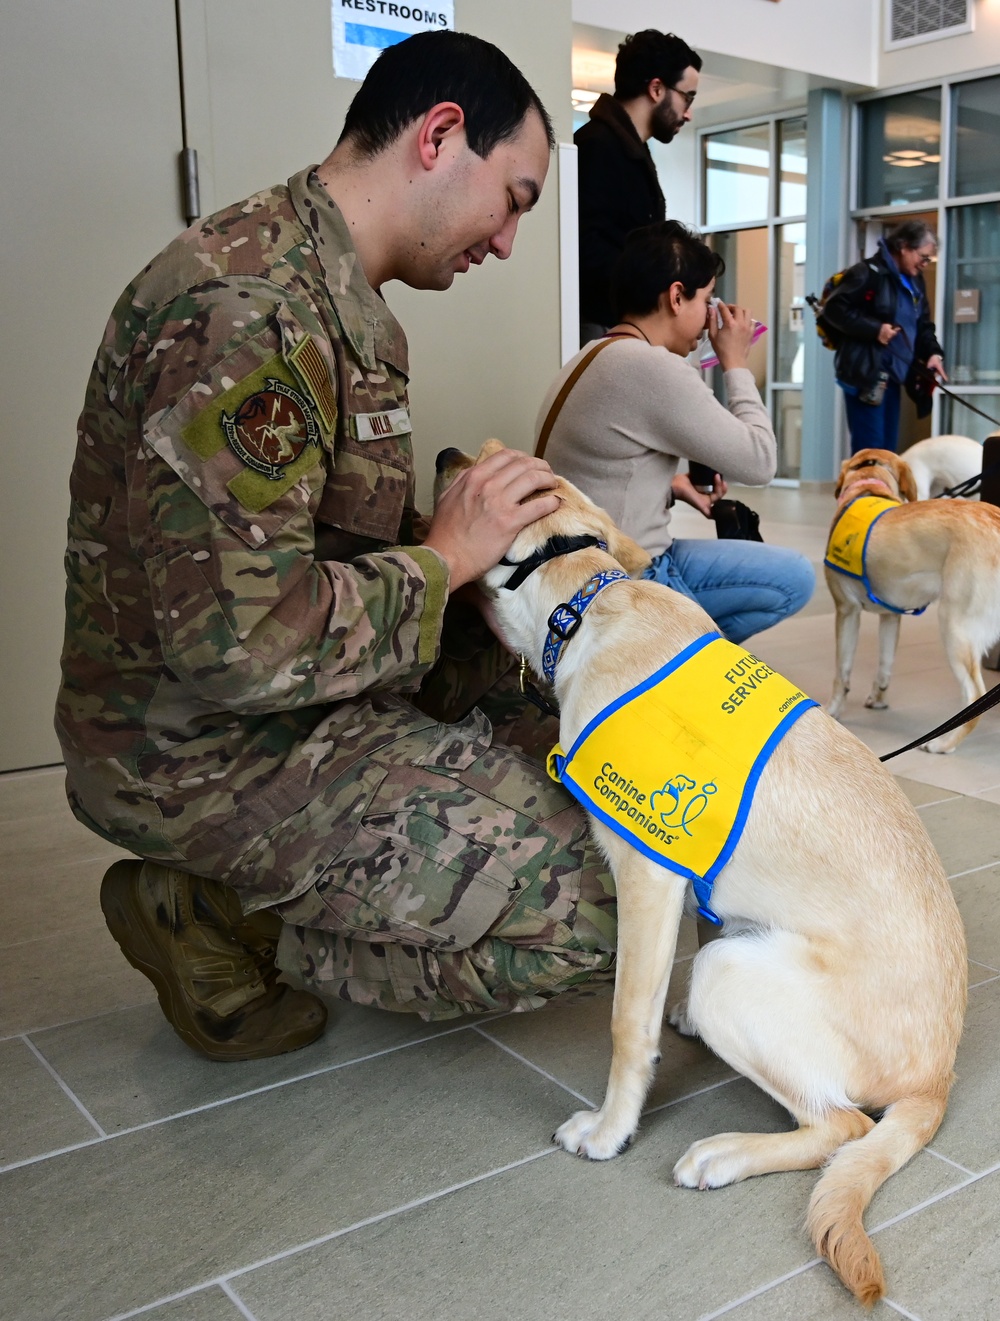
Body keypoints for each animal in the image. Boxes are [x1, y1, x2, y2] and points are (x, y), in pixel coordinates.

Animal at [433, 438, 961, 1305]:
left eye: (475, 470)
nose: (441, 450)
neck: (587, 605)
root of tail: (938, 1078)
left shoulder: (646, 875)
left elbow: (626, 1024)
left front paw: (609, 1130)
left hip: (729, 977)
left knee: (843, 1124)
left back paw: (725, 1151)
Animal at [824, 446, 998, 750]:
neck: (868, 488)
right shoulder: (891, 616)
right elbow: (885, 666)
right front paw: (878, 699)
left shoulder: (846, 611)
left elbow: (841, 673)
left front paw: (833, 711)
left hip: (955, 627)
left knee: (975, 697)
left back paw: (943, 744)